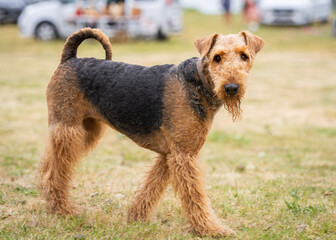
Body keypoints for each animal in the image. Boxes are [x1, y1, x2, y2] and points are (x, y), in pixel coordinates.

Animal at [40, 27, 266, 236]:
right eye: (217, 57)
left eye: (244, 56)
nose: (231, 88)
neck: (198, 82)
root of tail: (70, 58)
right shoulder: (184, 154)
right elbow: (195, 195)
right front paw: (210, 228)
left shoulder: (170, 154)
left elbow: (151, 187)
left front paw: (136, 216)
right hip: (68, 129)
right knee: (55, 171)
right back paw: (62, 208)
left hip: (86, 130)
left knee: (48, 162)